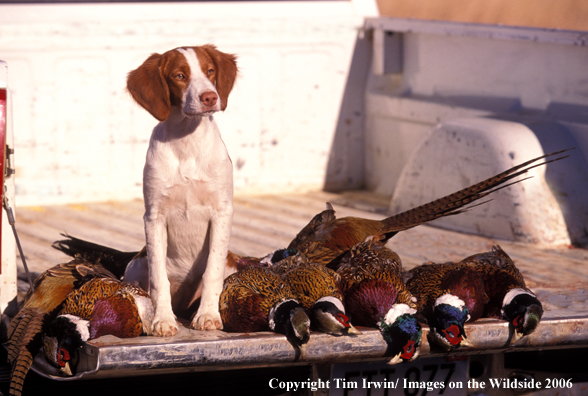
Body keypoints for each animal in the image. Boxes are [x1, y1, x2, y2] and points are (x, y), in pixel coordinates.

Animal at [126, 46, 239, 338]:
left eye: (209, 71)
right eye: (179, 75)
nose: (210, 97)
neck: (188, 139)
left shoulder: (222, 212)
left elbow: (211, 272)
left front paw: (208, 315)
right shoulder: (154, 216)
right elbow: (159, 279)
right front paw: (162, 320)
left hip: (231, 263)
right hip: (136, 265)